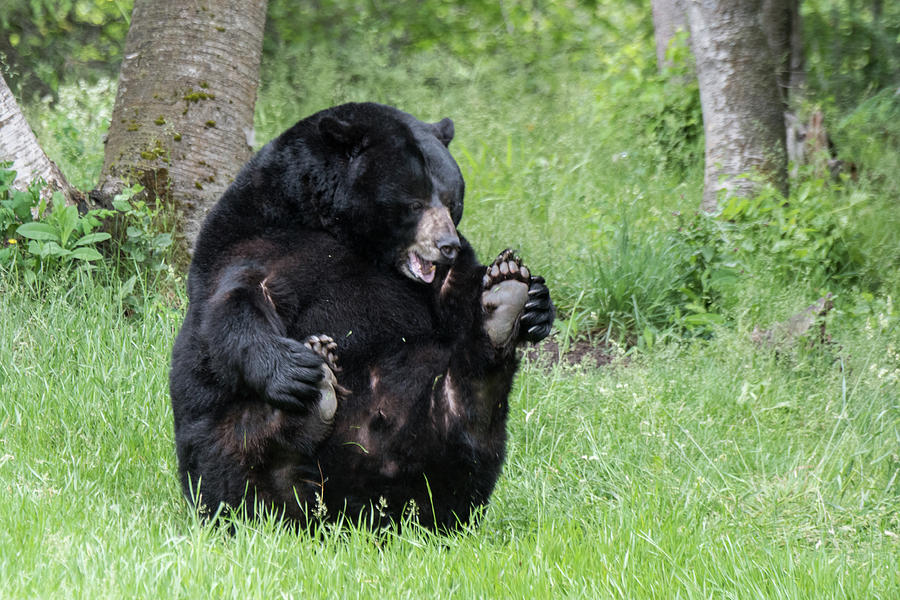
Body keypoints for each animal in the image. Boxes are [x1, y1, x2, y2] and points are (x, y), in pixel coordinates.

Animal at [167, 103, 556, 528]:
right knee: (236, 456)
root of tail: (356, 515)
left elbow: (462, 293)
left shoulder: (441, 279)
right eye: (414, 202)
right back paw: (312, 396)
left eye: (452, 202)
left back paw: (503, 309)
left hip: (439, 440)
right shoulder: (261, 239)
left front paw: (529, 298)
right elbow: (234, 301)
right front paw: (292, 368)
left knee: (468, 412)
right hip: (218, 449)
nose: (446, 245)